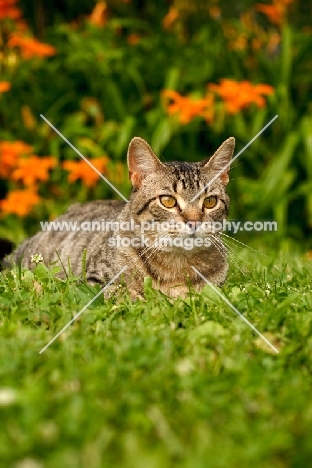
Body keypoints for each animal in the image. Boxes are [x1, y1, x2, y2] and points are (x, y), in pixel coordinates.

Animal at [3, 135, 235, 298]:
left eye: (210, 202)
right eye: (168, 201)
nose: (194, 222)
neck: (177, 266)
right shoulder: (91, 281)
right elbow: (119, 291)